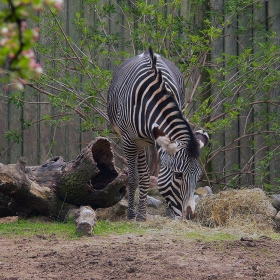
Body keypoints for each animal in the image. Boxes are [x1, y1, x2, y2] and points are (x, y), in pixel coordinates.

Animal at [107, 48, 208, 221]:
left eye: (198, 176)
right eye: (178, 175)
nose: (189, 217)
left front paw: (167, 215)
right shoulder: (128, 140)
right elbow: (134, 179)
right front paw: (132, 215)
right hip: (137, 142)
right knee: (142, 176)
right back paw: (137, 213)